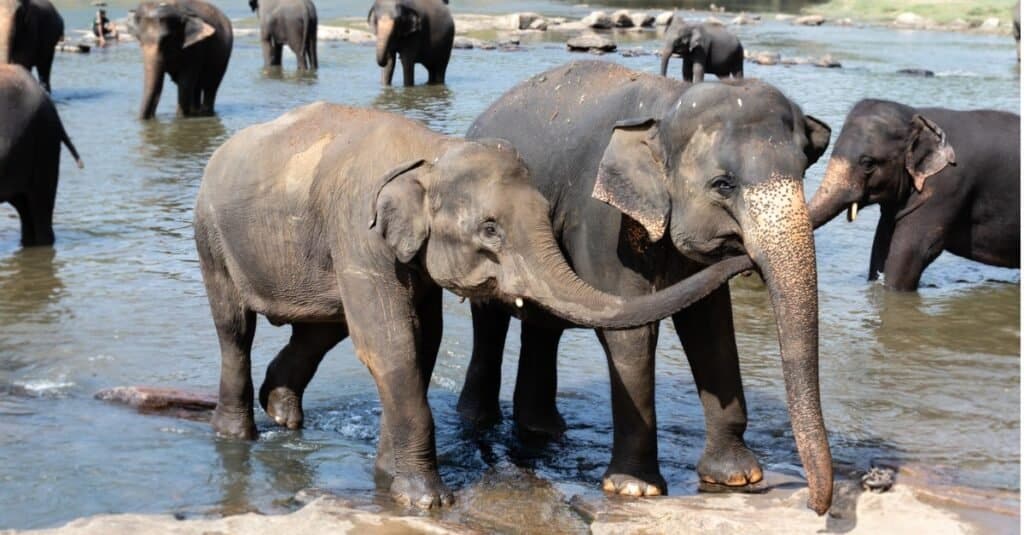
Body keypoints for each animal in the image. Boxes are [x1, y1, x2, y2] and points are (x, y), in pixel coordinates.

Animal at [193, 101, 753, 506]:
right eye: (489, 230)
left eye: (546, 213)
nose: (744, 254)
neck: (432, 153)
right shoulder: (358, 231)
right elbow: (390, 344)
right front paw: (426, 499)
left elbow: (421, 341)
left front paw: (389, 477)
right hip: (211, 237)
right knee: (234, 328)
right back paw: (236, 434)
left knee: (322, 325)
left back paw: (281, 412)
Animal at [460, 60, 835, 514]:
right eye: (723, 184)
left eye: (802, 171)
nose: (816, 506)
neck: (669, 101)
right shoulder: (603, 221)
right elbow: (631, 333)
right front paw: (635, 488)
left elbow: (711, 327)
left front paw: (737, 476)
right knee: (489, 324)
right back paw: (478, 420)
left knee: (543, 327)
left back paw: (543, 429)